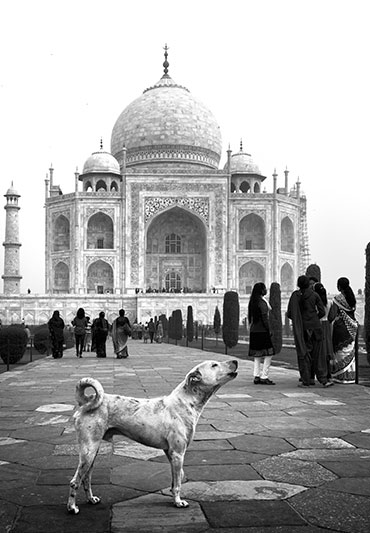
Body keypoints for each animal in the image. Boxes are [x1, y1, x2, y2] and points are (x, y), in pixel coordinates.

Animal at [66, 358, 237, 512]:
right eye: (214, 365)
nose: (235, 361)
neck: (185, 402)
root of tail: (86, 402)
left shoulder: (170, 453)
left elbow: (175, 480)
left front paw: (174, 497)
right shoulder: (178, 453)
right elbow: (178, 484)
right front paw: (178, 502)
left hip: (92, 452)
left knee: (86, 478)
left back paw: (91, 499)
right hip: (88, 451)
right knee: (75, 481)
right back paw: (72, 507)